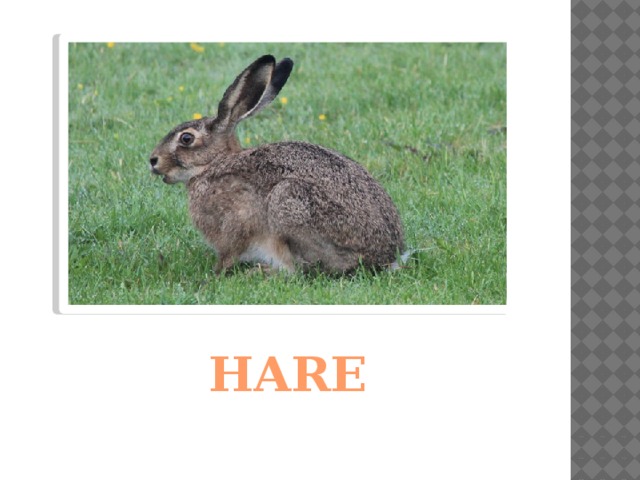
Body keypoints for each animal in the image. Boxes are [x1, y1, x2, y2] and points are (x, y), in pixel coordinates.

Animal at [149, 54, 405, 274]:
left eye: (186, 138)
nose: (153, 161)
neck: (213, 163)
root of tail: (386, 257)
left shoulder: (236, 222)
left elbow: (229, 252)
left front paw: (216, 272)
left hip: (288, 203)